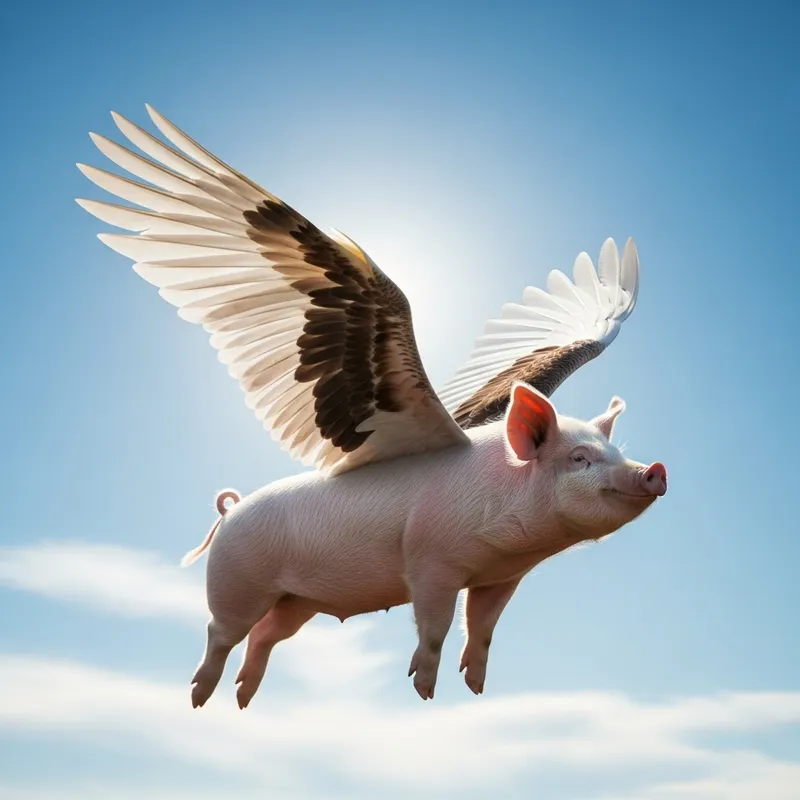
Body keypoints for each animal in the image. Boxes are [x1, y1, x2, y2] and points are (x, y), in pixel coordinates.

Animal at [185, 382, 666, 709]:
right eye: (580, 458)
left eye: (616, 453)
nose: (654, 469)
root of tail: (231, 512)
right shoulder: (431, 563)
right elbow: (435, 626)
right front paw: (426, 693)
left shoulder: (501, 576)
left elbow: (483, 627)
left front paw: (475, 688)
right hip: (237, 581)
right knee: (220, 632)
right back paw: (200, 697)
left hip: (296, 601)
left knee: (264, 634)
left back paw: (242, 699)